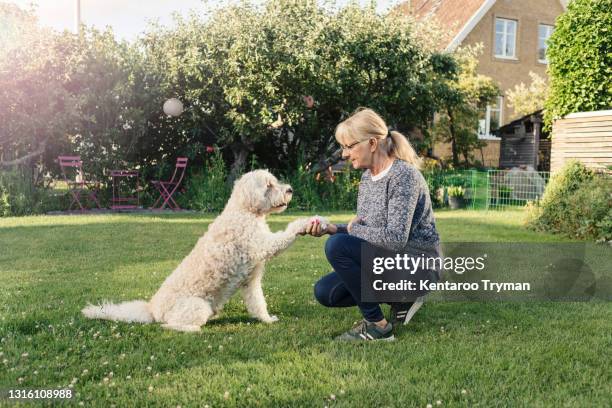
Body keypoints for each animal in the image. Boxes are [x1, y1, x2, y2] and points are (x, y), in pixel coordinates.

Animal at [82, 169, 320, 332]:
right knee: (170, 326)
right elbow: (285, 235)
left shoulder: (250, 282)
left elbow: (258, 303)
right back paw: (194, 329)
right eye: (268, 185)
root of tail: (151, 309)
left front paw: (267, 319)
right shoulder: (263, 245)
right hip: (197, 307)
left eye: (275, 180)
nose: (289, 190)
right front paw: (304, 223)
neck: (245, 211)